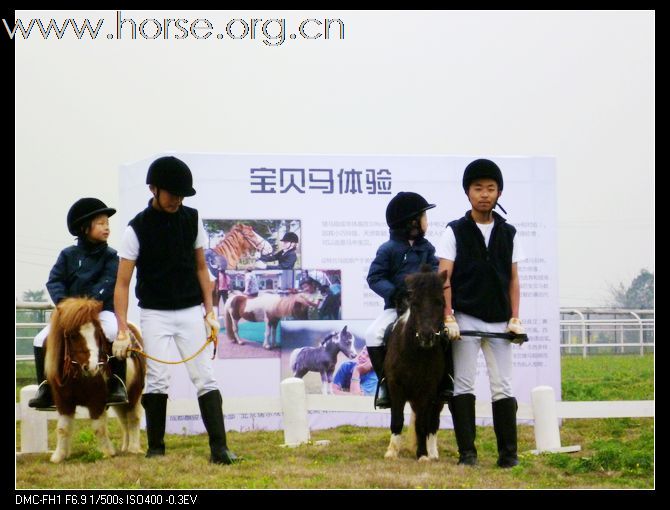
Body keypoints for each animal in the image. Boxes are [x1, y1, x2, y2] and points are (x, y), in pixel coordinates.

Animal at [44, 296, 146, 464]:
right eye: (72, 335)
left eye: (98, 333)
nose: (92, 367)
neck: (78, 376)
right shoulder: (63, 401)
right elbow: (63, 428)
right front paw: (59, 456)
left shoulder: (97, 400)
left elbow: (99, 428)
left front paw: (107, 452)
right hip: (120, 403)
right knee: (123, 420)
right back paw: (125, 447)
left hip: (134, 393)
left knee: (133, 418)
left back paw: (133, 448)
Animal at [384, 266, 452, 462]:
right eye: (414, 304)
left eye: (440, 303)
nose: (426, 337)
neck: (415, 353)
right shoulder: (395, 385)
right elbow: (397, 419)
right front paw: (392, 452)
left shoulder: (427, 390)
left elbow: (422, 423)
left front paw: (422, 454)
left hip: (437, 398)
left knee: (432, 422)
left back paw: (432, 453)